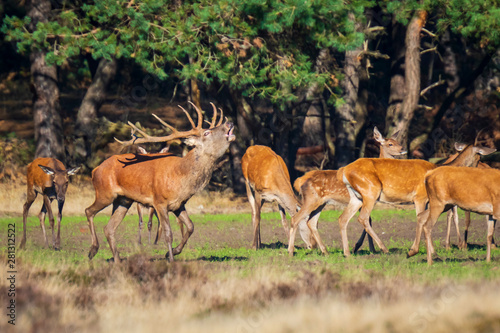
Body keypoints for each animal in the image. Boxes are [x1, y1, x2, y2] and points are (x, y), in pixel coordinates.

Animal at [85, 102, 235, 260]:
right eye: (206, 133)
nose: (229, 122)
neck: (181, 178)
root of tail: (95, 170)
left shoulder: (179, 204)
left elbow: (190, 226)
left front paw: (173, 251)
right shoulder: (159, 202)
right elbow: (168, 233)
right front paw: (171, 258)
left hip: (123, 200)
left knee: (109, 228)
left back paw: (117, 260)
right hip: (105, 193)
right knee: (89, 211)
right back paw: (93, 250)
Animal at [290, 126, 406, 254]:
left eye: (398, 142)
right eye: (390, 144)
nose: (403, 149)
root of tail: (299, 181)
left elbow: (369, 220)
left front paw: (369, 248)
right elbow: (368, 220)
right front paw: (362, 247)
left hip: (321, 203)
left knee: (311, 222)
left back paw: (325, 251)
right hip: (311, 200)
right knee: (296, 218)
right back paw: (291, 251)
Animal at [334, 142, 494, 256]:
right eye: (479, 157)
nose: (483, 169)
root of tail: (344, 170)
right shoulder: (420, 197)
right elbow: (421, 220)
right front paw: (423, 250)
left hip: (357, 196)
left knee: (343, 218)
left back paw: (347, 253)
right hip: (370, 190)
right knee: (363, 218)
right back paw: (383, 248)